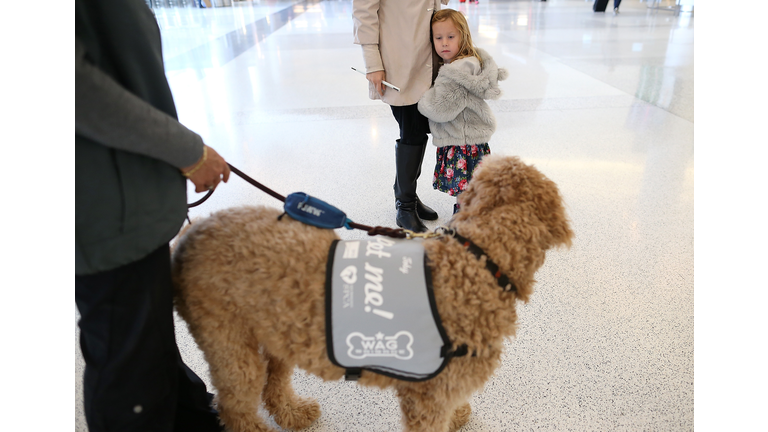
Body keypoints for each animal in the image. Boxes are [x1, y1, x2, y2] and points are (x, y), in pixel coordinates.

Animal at [171, 156, 572, 432]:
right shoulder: (426, 398)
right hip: (229, 344)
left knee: (273, 385)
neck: (479, 256)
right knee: (236, 408)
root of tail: (191, 232)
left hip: (276, 333)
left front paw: (459, 414)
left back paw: (294, 412)